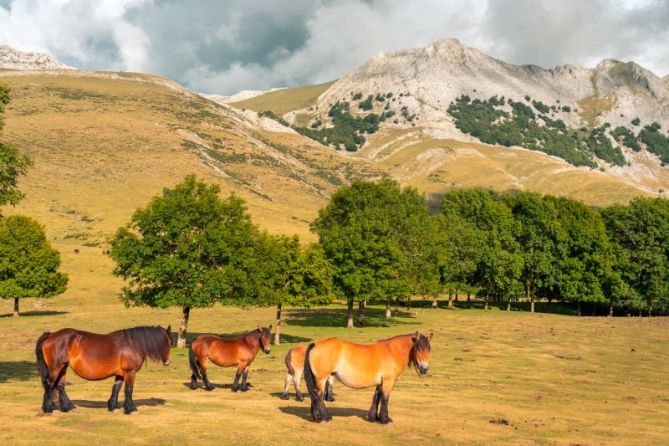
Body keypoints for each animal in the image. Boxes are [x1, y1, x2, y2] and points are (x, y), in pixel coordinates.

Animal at [35, 324, 172, 414]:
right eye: (169, 342)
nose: (168, 362)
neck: (132, 344)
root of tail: (51, 335)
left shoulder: (120, 374)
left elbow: (116, 388)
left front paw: (113, 407)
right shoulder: (130, 372)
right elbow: (129, 390)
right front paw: (131, 409)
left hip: (63, 367)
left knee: (59, 386)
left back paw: (68, 408)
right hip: (55, 368)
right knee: (49, 384)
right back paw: (50, 408)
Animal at [304, 332, 434, 424]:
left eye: (429, 349)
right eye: (418, 348)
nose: (424, 369)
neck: (392, 351)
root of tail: (315, 344)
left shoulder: (380, 382)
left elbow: (377, 397)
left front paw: (374, 418)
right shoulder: (388, 381)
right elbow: (385, 399)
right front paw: (385, 419)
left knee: (314, 395)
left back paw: (316, 417)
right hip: (322, 378)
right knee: (319, 396)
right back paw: (325, 417)